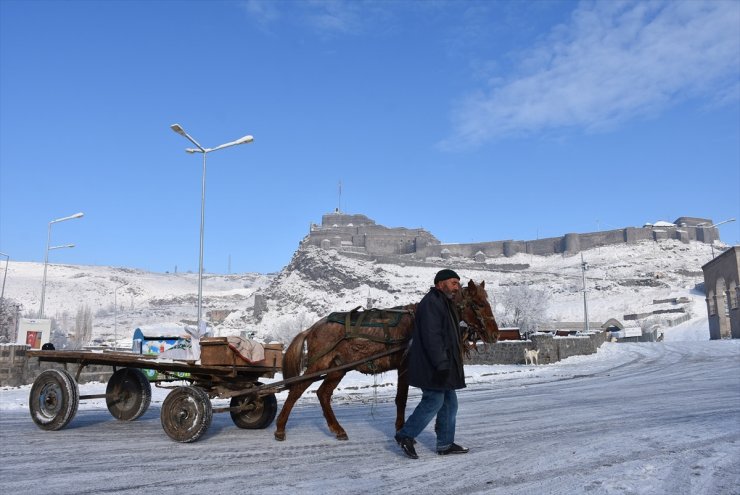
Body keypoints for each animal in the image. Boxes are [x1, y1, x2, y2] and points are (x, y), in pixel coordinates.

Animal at [274, 280, 500, 444]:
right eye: (479, 304)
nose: (495, 334)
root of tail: (312, 327)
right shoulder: (405, 367)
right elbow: (401, 399)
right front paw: (401, 430)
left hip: (338, 368)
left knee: (323, 394)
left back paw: (337, 430)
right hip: (319, 364)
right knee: (296, 390)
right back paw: (280, 428)